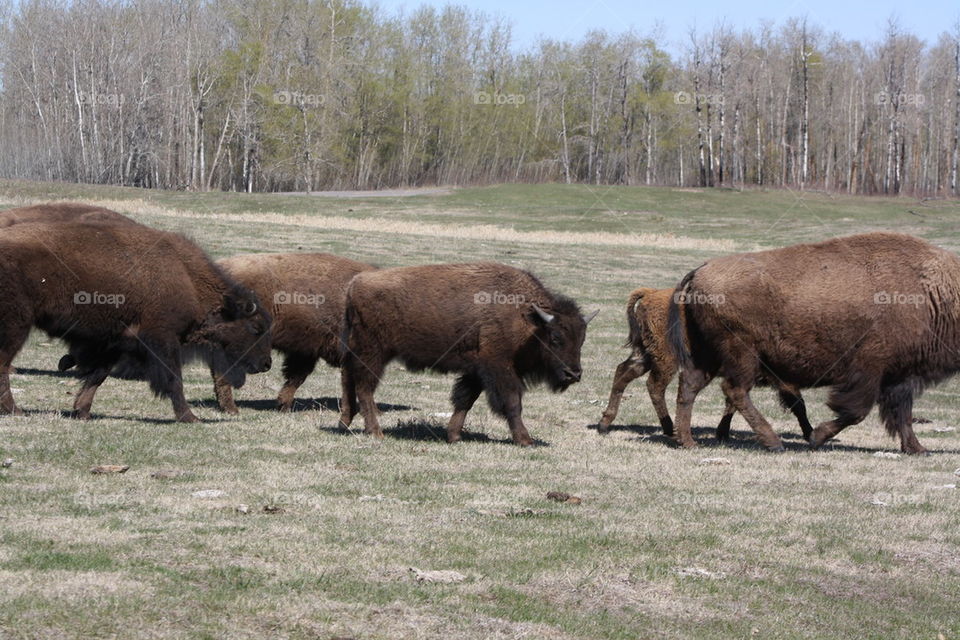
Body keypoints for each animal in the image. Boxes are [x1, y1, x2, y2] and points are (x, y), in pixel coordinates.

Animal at [338, 262, 596, 445]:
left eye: (582, 339)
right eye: (555, 338)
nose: (574, 374)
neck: (527, 319)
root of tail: (353, 286)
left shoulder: (476, 371)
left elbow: (465, 400)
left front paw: (454, 436)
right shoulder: (499, 368)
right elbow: (512, 402)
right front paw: (525, 440)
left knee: (349, 382)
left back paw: (345, 424)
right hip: (373, 354)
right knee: (365, 388)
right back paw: (376, 432)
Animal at [668, 232, 959, 453]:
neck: (935, 293)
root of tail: (699, 271)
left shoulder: (900, 376)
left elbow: (901, 416)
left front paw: (917, 449)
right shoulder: (872, 371)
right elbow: (857, 411)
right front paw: (817, 437)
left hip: (706, 354)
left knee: (691, 387)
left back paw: (688, 442)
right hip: (742, 354)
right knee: (734, 390)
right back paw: (773, 443)